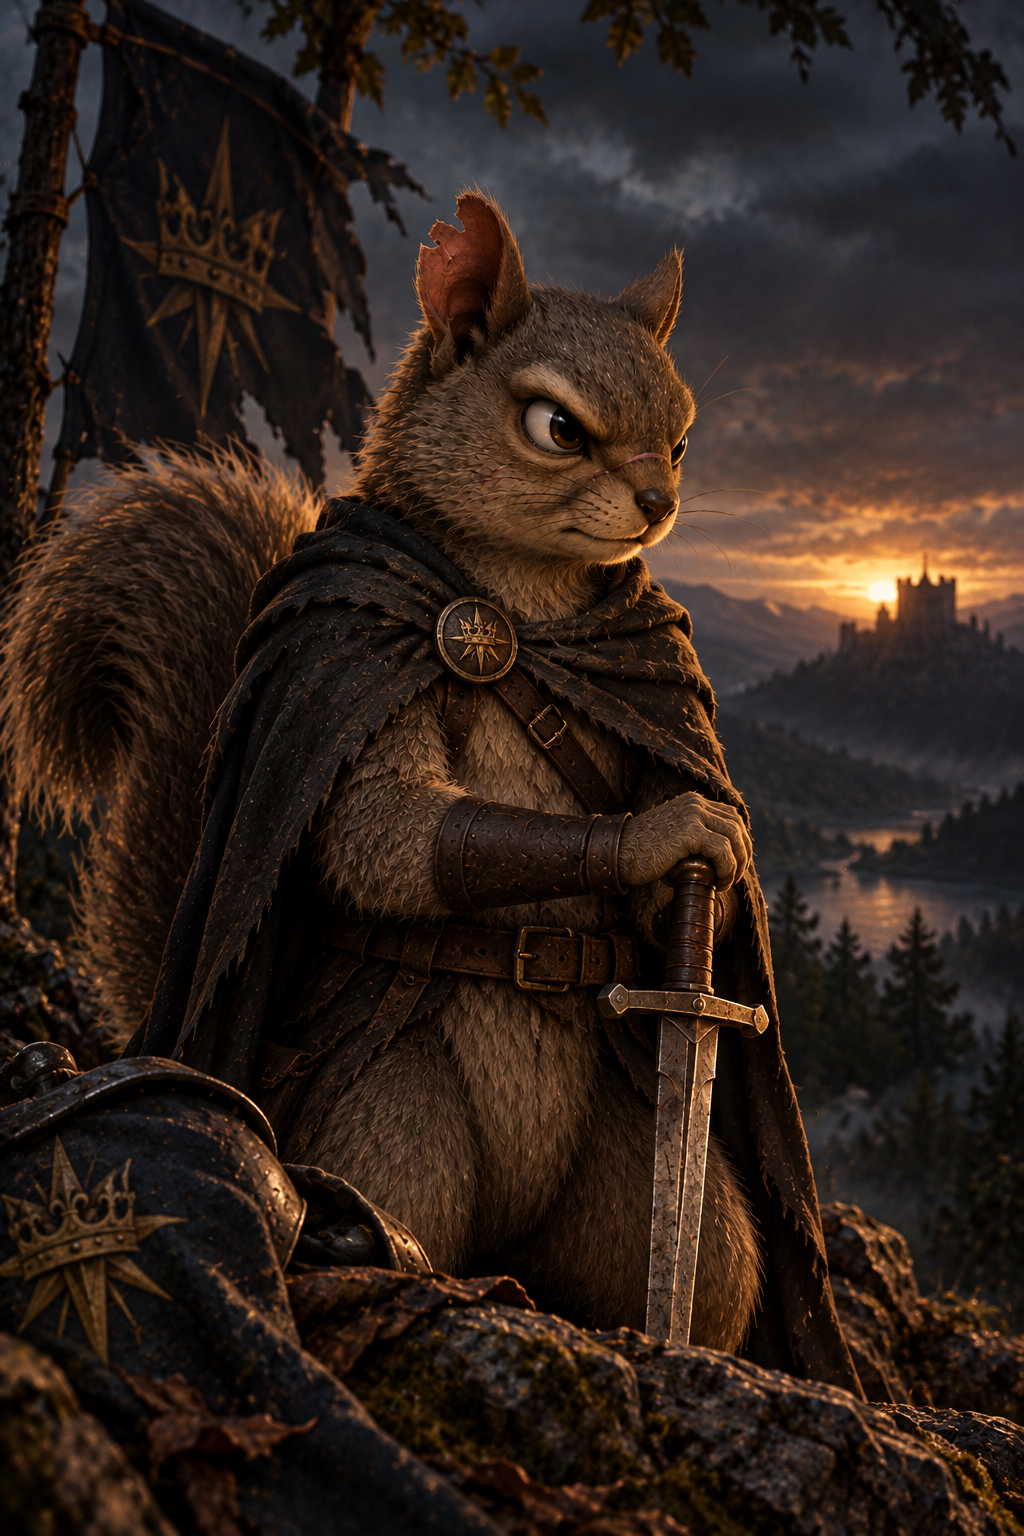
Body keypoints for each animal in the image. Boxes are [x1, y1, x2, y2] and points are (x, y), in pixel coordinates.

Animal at [3, 193, 764, 1350]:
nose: (656, 501)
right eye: (557, 427)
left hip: (639, 1181)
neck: (529, 603)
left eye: (679, 437)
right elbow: (381, 830)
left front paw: (716, 864)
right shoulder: (351, 652)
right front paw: (667, 837)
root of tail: (505, 1244)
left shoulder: (653, 677)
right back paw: (387, 1274)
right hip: (392, 1118)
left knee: (706, 1265)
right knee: (387, 1192)